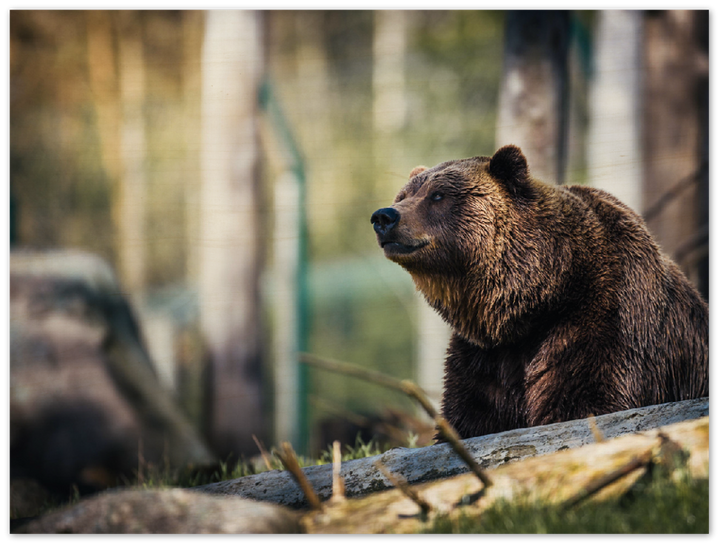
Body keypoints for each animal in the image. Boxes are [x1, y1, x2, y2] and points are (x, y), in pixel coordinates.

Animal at [371, 144, 709, 440]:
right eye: (403, 195)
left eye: (438, 195)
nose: (384, 216)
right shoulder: (484, 355)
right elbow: (470, 415)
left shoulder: (603, 318)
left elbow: (585, 400)